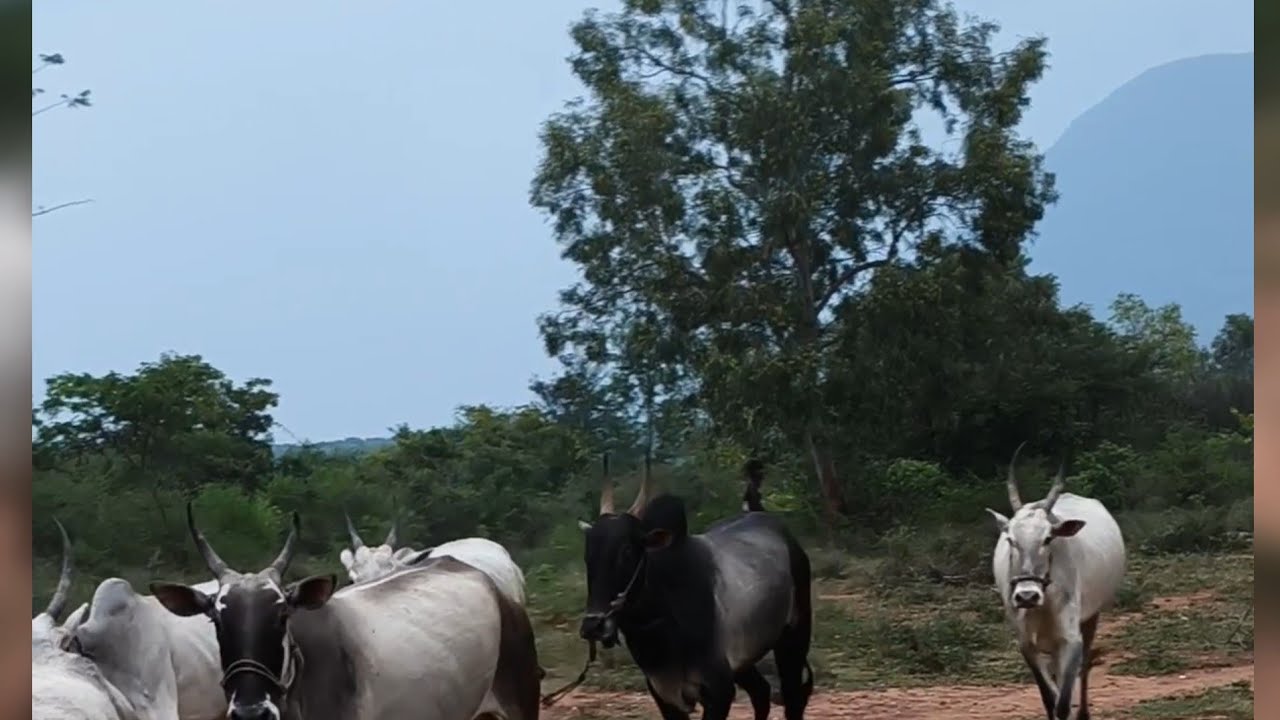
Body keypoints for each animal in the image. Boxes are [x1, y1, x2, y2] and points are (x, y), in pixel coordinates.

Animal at [576, 454, 814, 720]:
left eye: (627, 551)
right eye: (588, 554)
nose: (593, 626)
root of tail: (761, 514)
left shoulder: (719, 691)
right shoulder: (664, 695)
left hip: (794, 637)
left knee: (792, 698)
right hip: (744, 660)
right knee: (761, 693)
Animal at [985, 444, 1127, 720]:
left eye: (1048, 538)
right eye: (1010, 539)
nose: (1026, 596)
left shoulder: (1071, 639)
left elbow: (1063, 701)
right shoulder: (1027, 645)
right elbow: (1049, 697)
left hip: (1091, 618)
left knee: (1085, 665)